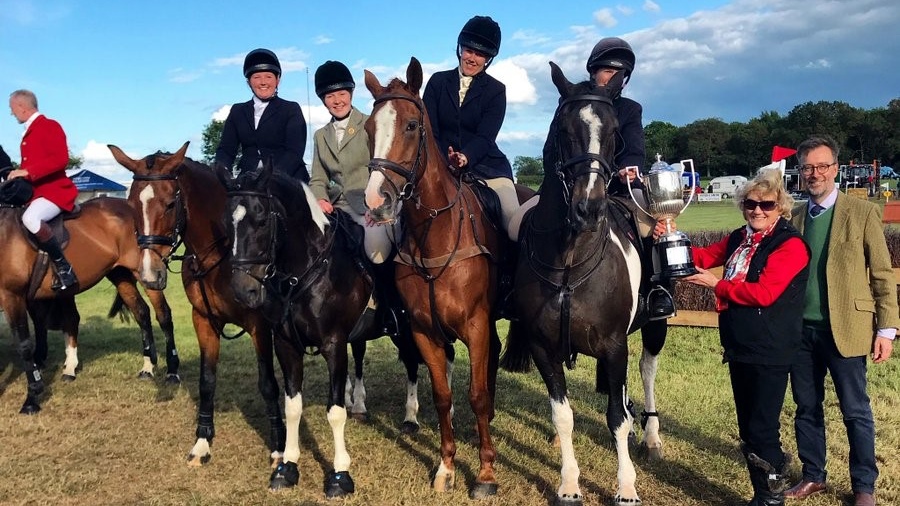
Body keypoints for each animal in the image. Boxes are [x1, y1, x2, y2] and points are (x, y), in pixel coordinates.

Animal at [0, 196, 181, 414]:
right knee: (141, 312)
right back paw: (147, 367)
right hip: (119, 274)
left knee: (163, 315)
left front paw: (32, 399)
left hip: (148, 274)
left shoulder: (12, 295)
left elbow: (24, 345)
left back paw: (172, 372)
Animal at [366, 56, 506, 498]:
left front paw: (485, 473)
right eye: (369, 129)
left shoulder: (476, 323)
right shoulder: (424, 330)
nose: (377, 202)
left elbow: (476, 394)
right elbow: (442, 395)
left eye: (412, 125)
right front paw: (446, 466)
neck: (434, 233)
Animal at [500, 63, 668, 506]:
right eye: (562, 129)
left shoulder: (613, 344)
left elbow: (616, 418)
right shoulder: (544, 348)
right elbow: (563, 415)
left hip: (655, 326)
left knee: (646, 371)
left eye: (615, 131)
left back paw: (651, 435)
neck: (569, 262)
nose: (588, 208)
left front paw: (626, 487)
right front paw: (569, 484)